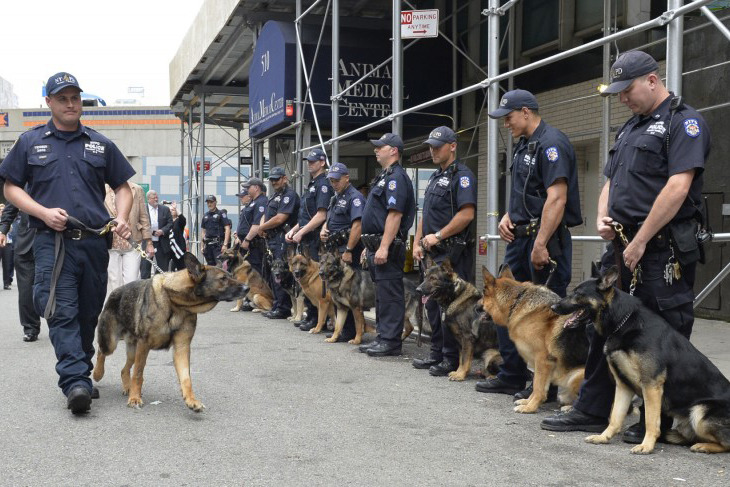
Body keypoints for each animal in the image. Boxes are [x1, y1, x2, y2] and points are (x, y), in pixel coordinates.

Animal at [93, 255, 247, 412]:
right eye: (223, 279)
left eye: (230, 275)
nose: (247, 288)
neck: (175, 302)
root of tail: (114, 292)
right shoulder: (144, 344)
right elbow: (138, 373)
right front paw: (135, 398)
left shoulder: (182, 347)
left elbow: (186, 378)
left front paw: (191, 400)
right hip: (111, 342)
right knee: (101, 352)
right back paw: (98, 373)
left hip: (133, 350)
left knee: (124, 369)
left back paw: (127, 387)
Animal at [480, 264, 588, 414]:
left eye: (482, 295)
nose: (475, 307)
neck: (516, 301)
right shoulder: (539, 362)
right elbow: (537, 383)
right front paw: (527, 401)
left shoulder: (542, 360)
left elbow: (538, 386)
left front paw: (530, 407)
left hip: (576, 376)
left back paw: (570, 409)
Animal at [552, 266, 728, 454]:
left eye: (578, 293)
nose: (553, 307)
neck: (623, 322)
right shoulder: (623, 385)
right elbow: (615, 416)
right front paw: (604, 437)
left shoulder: (651, 386)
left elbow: (650, 420)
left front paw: (646, 445)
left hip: (699, 411)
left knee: (725, 443)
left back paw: (703, 446)